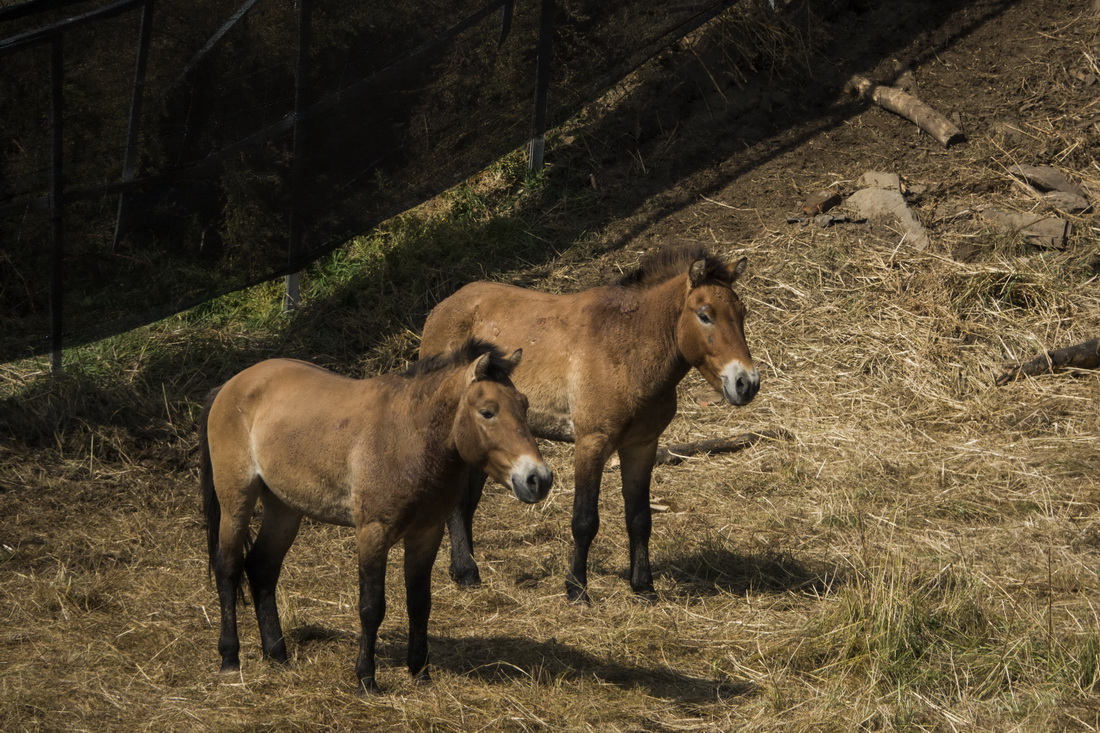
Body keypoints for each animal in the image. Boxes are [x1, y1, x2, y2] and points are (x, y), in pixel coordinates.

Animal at [198, 338, 550, 686]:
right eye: (487, 411)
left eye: (524, 405)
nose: (538, 478)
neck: (408, 436)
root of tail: (230, 386)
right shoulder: (373, 532)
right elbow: (371, 607)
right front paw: (366, 677)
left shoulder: (427, 533)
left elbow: (419, 603)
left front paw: (420, 672)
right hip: (236, 501)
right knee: (228, 567)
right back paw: (230, 658)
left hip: (284, 508)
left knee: (262, 567)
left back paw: (277, 654)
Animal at [418, 244, 756, 598]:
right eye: (704, 314)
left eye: (742, 312)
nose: (746, 383)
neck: (626, 347)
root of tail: (441, 308)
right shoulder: (592, 442)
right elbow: (584, 520)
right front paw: (576, 588)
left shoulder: (641, 445)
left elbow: (639, 518)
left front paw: (643, 586)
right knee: (459, 505)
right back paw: (467, 571)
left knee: (466, 504)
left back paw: (465, 570)